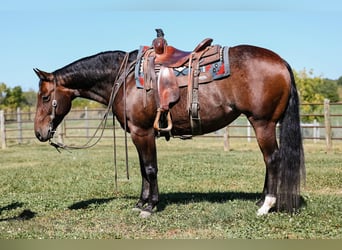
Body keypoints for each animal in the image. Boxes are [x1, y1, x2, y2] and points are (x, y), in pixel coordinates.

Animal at [34, 44, 304, 218]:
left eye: (46, 97)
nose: (39, 133)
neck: (125, 79)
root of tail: (281, 62)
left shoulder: (142, 131)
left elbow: (150, 169)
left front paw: (149, 206)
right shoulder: (139, 134)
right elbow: (143, 169)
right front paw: (141, 202)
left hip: (262, 123)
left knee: (272, 159)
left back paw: (266, 206)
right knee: (270, 161)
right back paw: (262, 199)